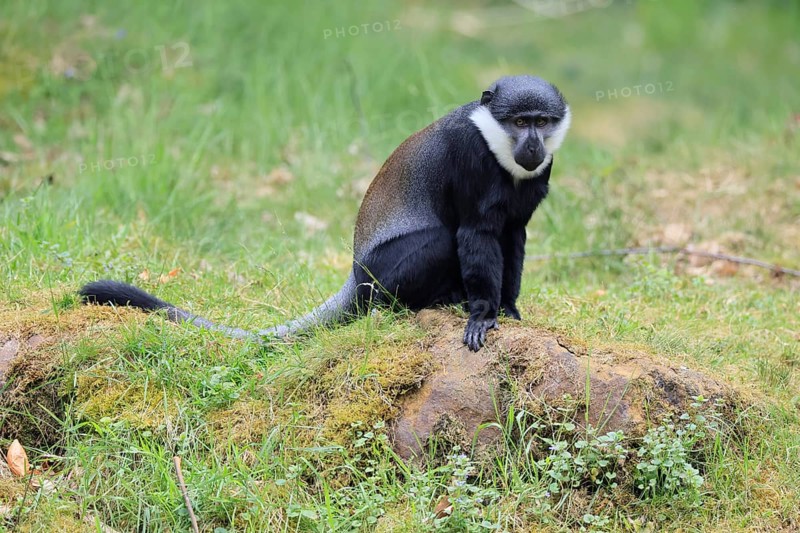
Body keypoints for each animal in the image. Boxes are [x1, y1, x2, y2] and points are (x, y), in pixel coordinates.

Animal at [81, 75, 571, 351]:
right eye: (520, 121)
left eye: (542, 122)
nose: (532, 145)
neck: (497, 144)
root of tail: (355, 277)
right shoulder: (470, 158)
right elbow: (475, 234)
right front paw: (483, 314)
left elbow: (513, 237)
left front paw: (508, 308)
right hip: (383, 276)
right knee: (438, 243)